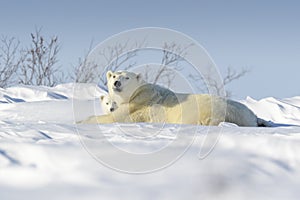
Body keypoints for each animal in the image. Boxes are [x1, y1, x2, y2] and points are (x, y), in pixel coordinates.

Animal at [79, 70, 270, 126]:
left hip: (209, 110)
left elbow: (116, 118)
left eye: (126, 77)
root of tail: (252, 115)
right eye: (113, 76)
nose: (116, 82)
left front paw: (81, 121)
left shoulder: (139, 106)